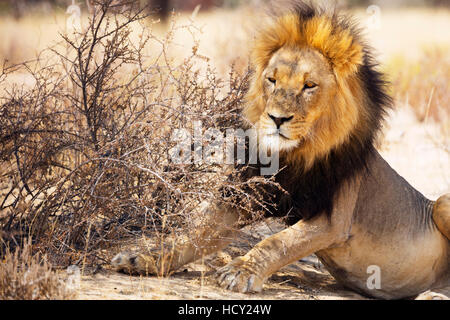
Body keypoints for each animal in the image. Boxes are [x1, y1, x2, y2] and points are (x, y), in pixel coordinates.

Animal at [110, 1, 448, 300]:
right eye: (272, 80)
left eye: (309, 85)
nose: (277, 118)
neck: (294, 154)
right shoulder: (242, 196)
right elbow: (194, 233)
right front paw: (145, 257)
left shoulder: (334, 218)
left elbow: (278, 242)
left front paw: (241, 271)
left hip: (441, 204)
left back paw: (432, 296)